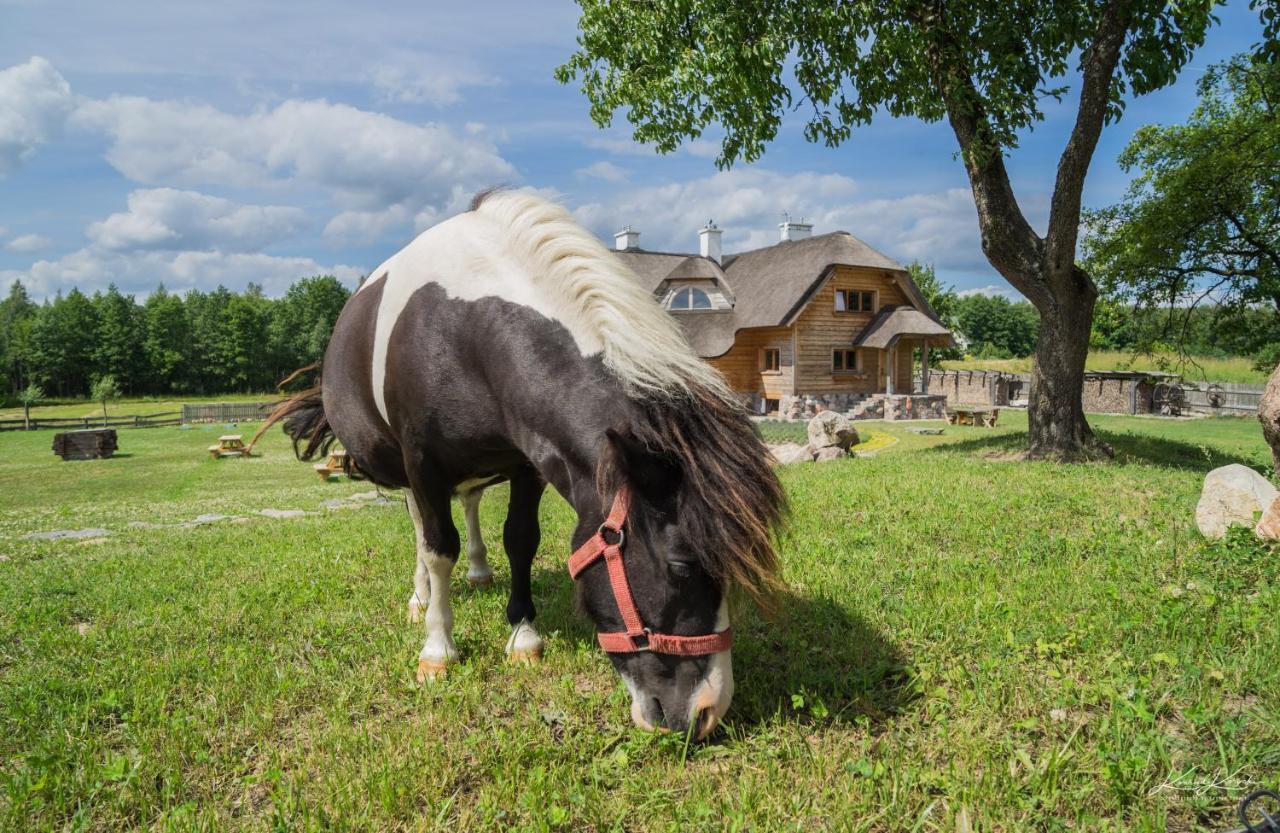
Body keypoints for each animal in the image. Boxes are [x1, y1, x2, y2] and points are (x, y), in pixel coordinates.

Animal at [258, 189, 778, 737]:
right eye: (680, 564)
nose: (707, 711)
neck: (462, 328)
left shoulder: (530, 461)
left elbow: (520, 539)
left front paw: (523, 635)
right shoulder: (423, 463)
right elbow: (438, 548)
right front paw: (438, 648)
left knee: (469, 501)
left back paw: (479, 570)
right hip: (404, 471)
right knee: (420, 525)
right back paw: (421, 597)